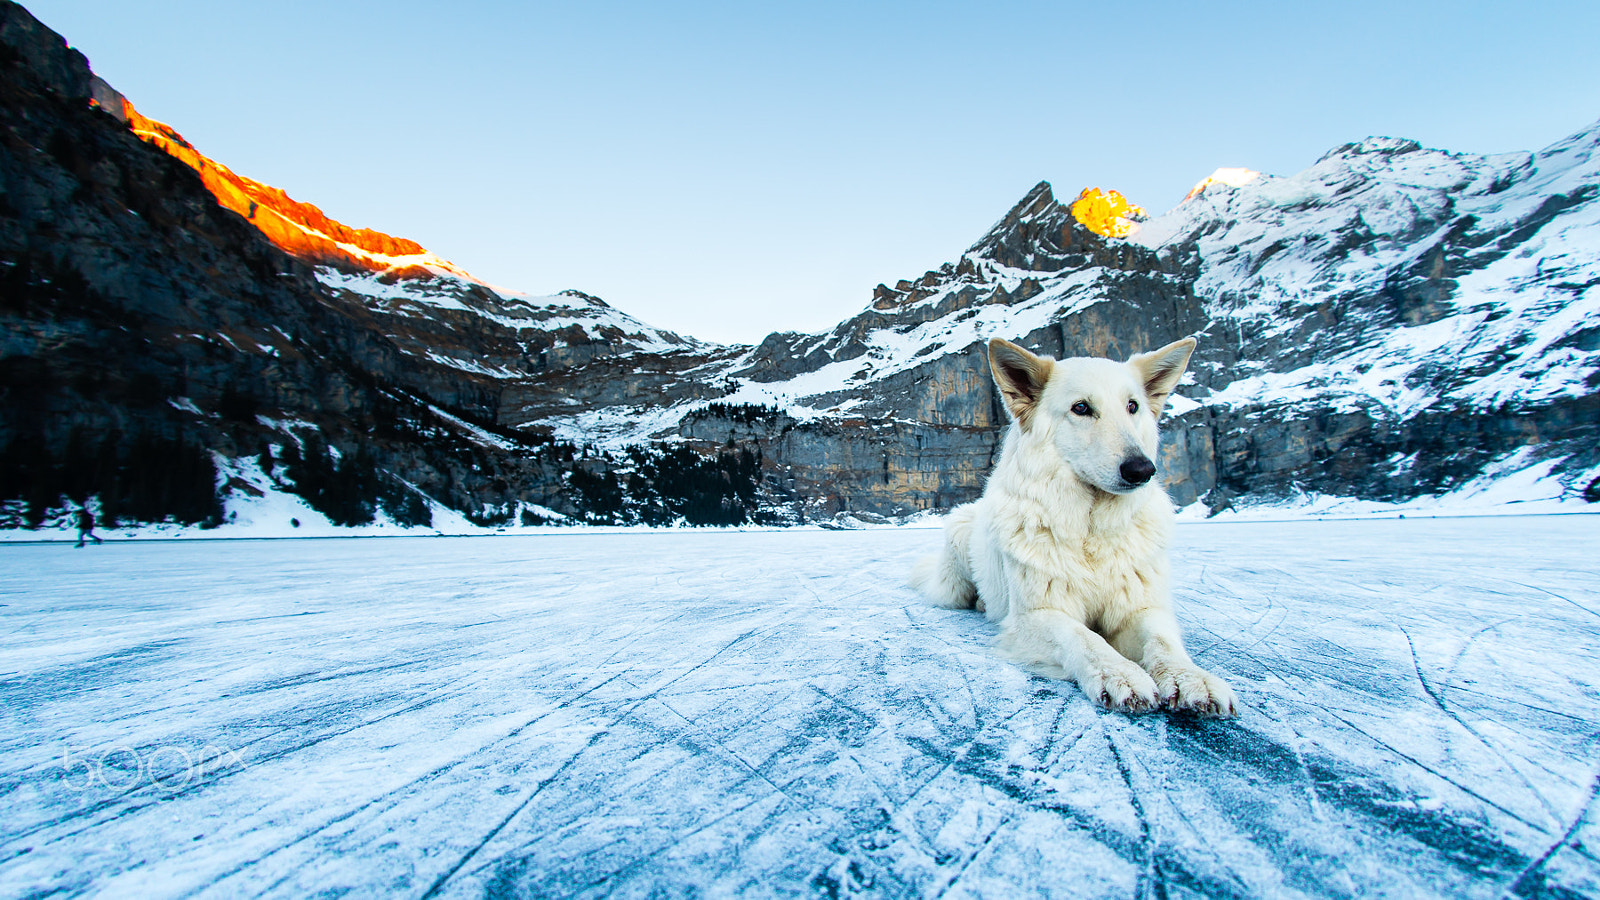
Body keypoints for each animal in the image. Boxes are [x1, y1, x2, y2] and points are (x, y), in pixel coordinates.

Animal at [915, 336, 1235, 714]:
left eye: (1133, 406)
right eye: (1081, 408)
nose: (1142, 469)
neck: (1090, 529)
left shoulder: (1138, 608)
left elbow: (1162, 641)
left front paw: (1191, 677)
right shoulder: (1037, 616)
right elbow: (1083, 637)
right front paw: (1120, 673)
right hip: (958, 546)